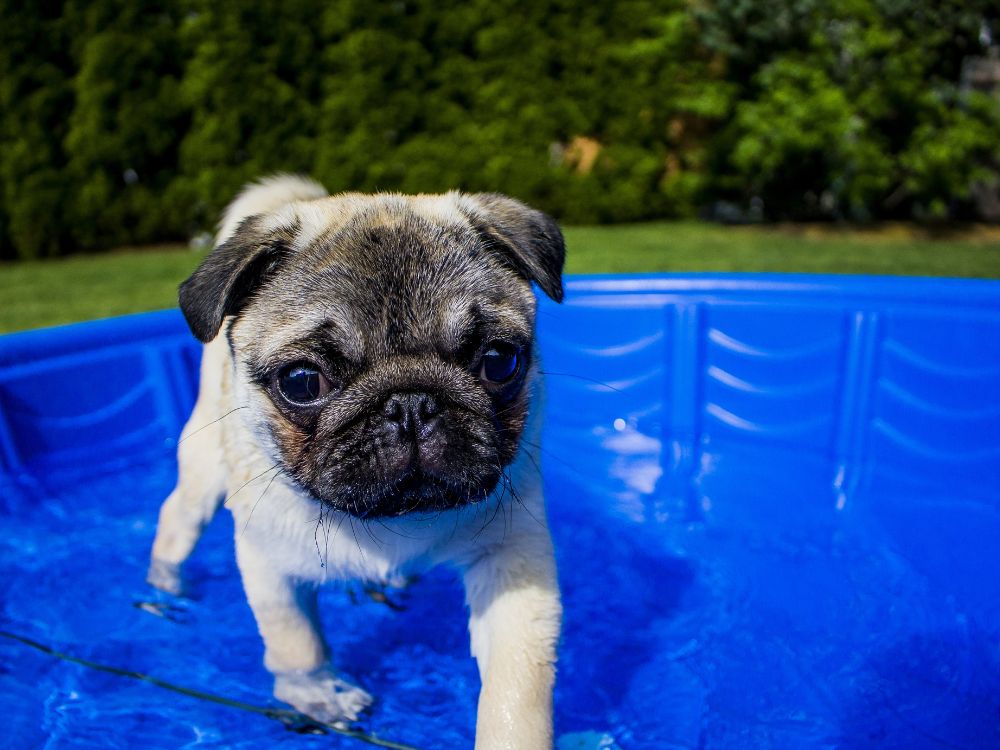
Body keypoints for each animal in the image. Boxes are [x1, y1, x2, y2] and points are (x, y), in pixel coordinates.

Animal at [152, 178, 568, 750]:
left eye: (499, 361)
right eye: (302, 382)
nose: (410, 403)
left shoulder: (513, 562)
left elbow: (517, 686)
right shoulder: (268, 563)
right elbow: (296, 643)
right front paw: (317, 693)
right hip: (203, 470)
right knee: (177, 520)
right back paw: (162, 588)